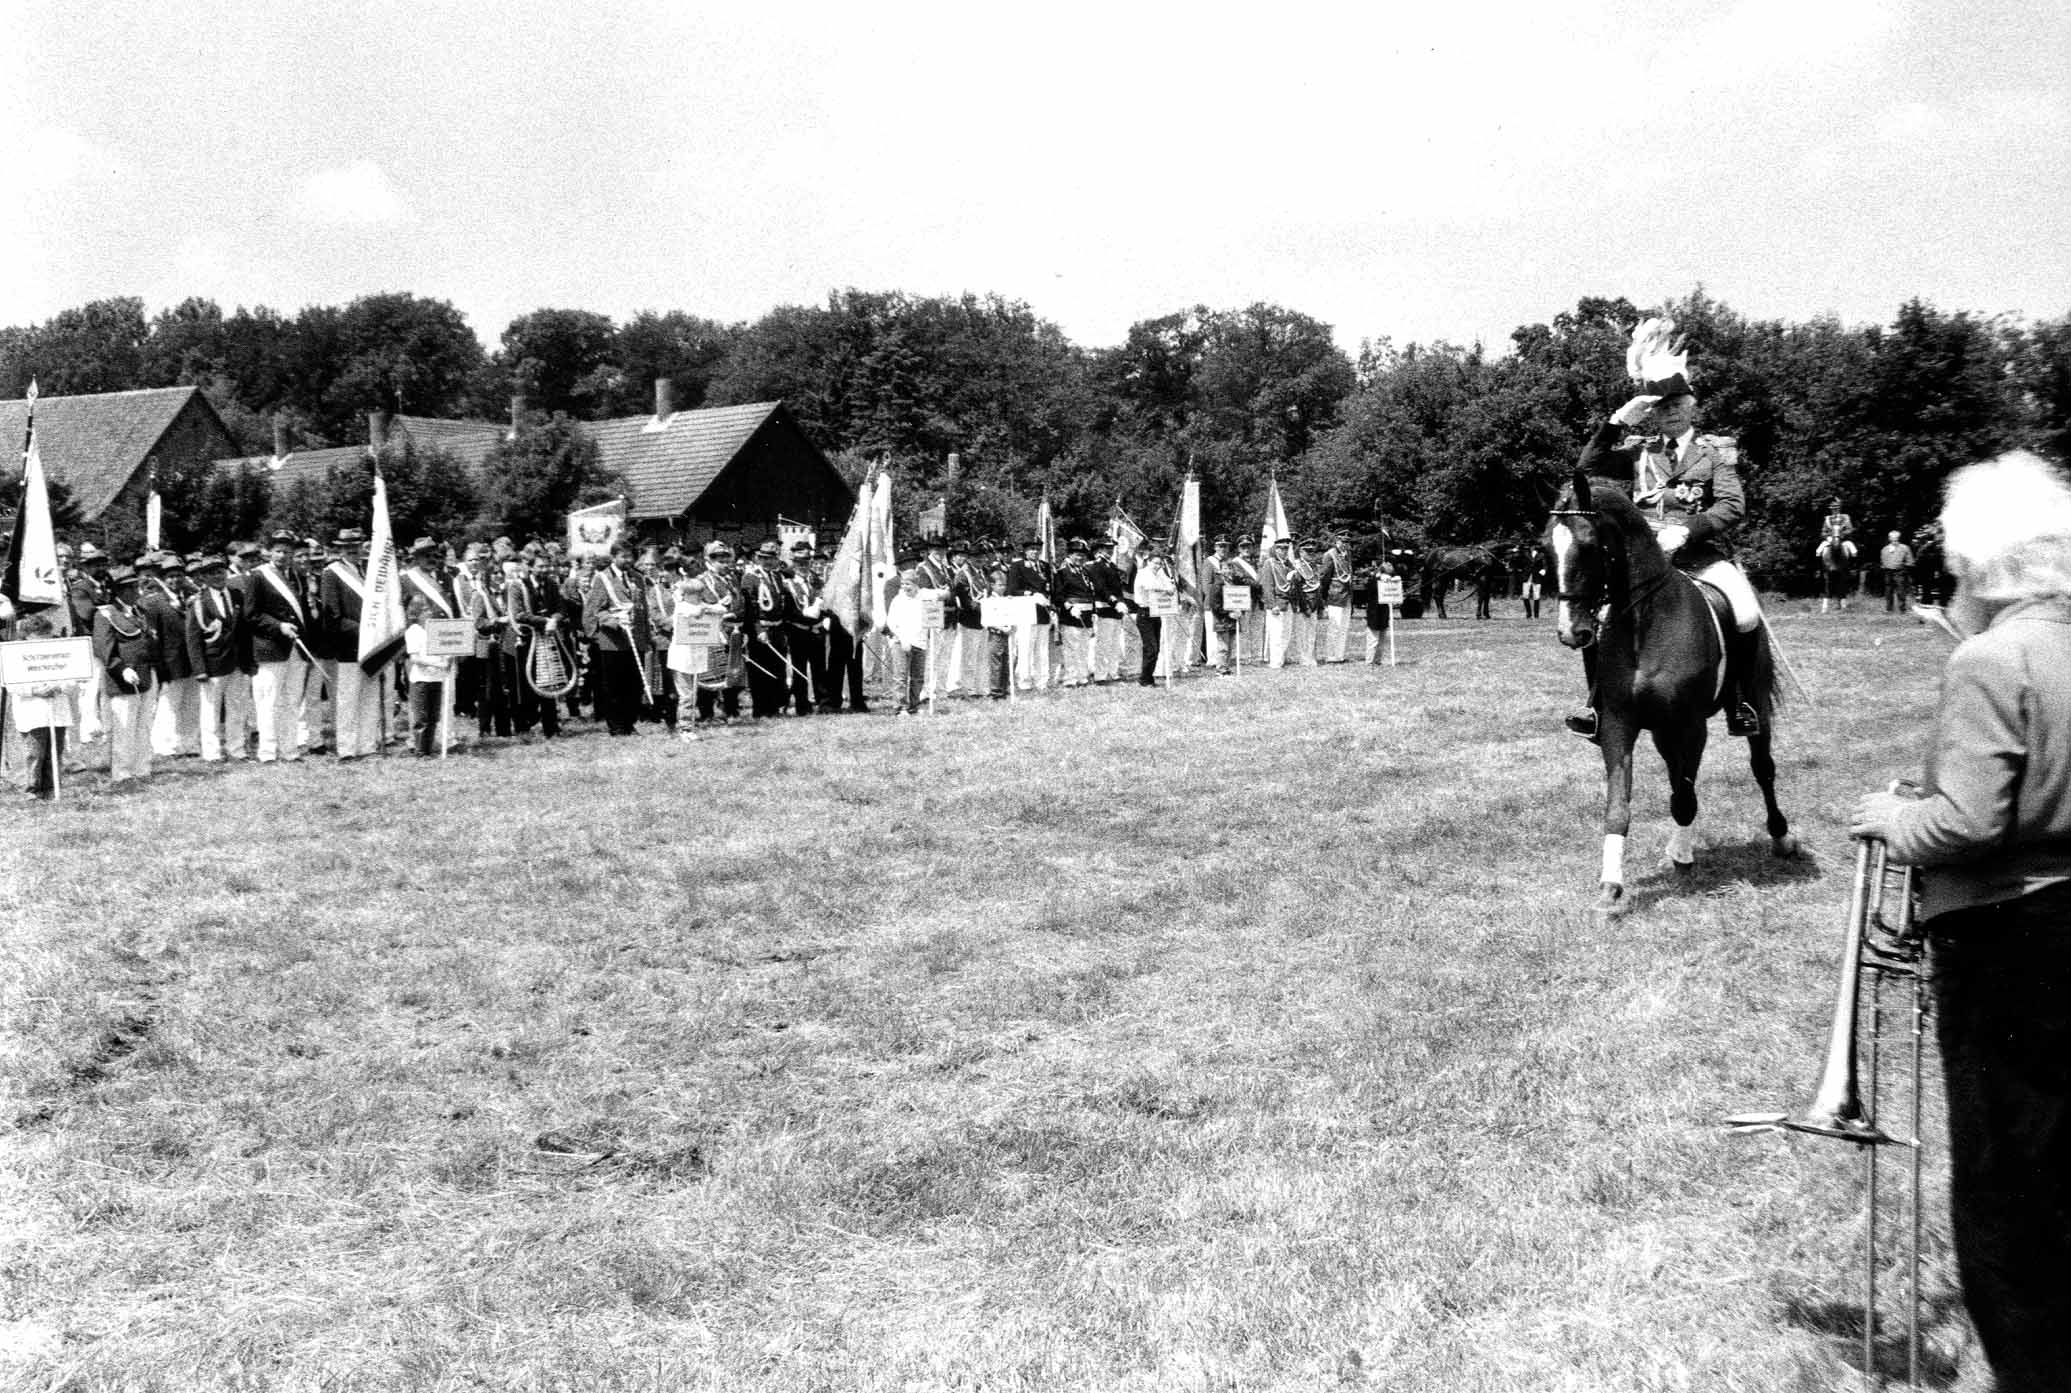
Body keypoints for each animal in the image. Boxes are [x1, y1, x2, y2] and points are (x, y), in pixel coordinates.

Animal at [1540, 471, 1797, 919]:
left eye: (1588, 545)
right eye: (1545, 547)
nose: (1572, 632)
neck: (1647, 625)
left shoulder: (1691, 727)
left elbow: (1685, 798)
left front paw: (1683, 860)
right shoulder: (1619, 725)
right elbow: (1619, 806)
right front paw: (1611, 888)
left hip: (1753, 709)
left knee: (1762, 769)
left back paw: (1779, 838)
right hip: (1662, 731)